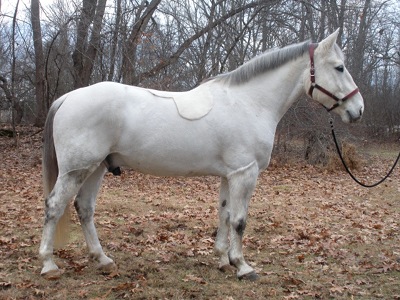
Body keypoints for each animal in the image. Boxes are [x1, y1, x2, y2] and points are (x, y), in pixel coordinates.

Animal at [39, 29, 364, 280]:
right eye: (339, 67)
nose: (358, 109)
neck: (249, 103)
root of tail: (68, 97)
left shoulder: (229, 175)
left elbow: (224, 214)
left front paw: (223, 260)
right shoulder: (245, 173)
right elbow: (239, 221)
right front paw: (243, 267)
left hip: (96, 168)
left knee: (84, 208)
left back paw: (102, 259)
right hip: (77, 169)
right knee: (55, 206)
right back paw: (49, 264)